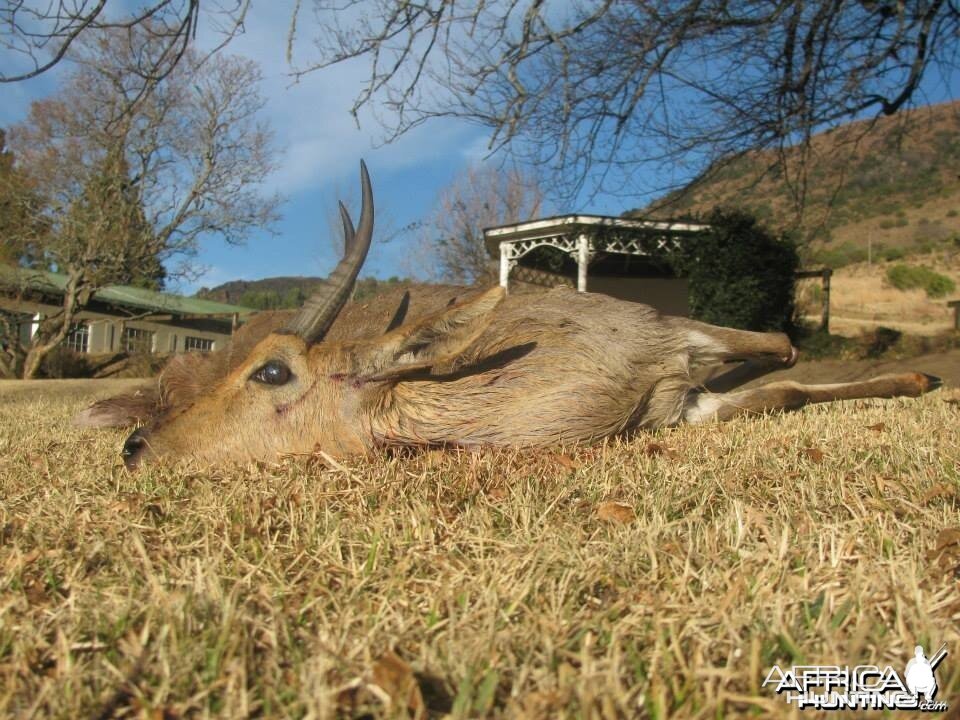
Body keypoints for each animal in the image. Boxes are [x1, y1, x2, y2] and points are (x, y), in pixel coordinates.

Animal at [77, 162, 944, 466]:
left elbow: (784, 349)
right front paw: (909, 380)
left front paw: (915, 377)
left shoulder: (671, 338)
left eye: (274, 371)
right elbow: (785, 387)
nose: (136, 446)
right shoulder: (680, 407)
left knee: (779, 341)